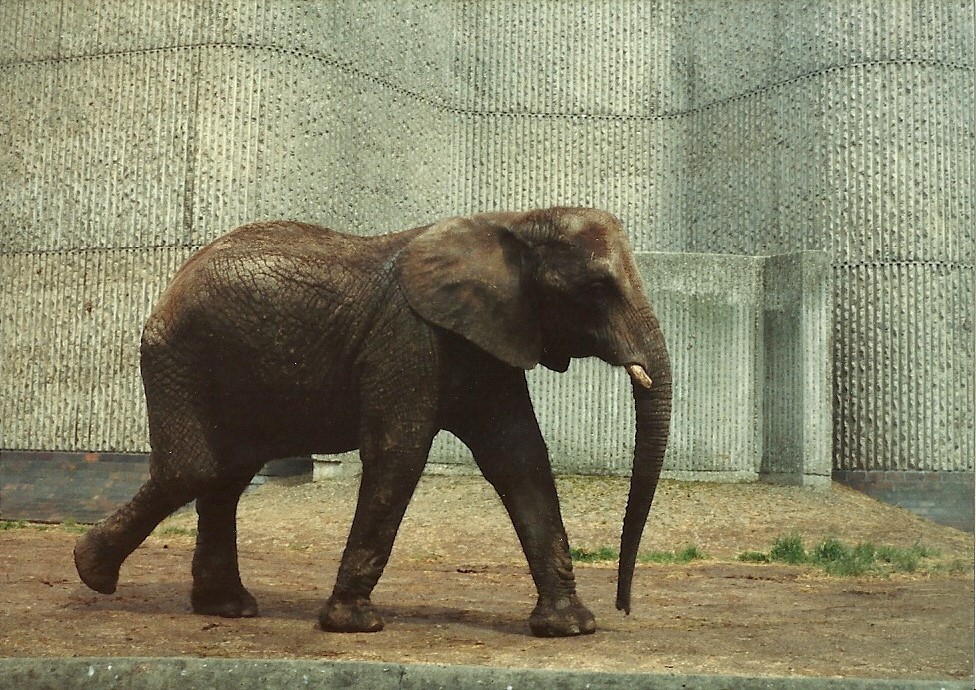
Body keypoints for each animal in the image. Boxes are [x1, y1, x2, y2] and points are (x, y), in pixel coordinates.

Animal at [73, 206, 672, 638]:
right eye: (597, 289)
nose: (624, 607)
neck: (517, 222)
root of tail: (172, 282)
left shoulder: (489, 342)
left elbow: (521, 459)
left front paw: (571, 628)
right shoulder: (408, 340)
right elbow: (398, 454)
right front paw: (354, 625)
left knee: (226, 476)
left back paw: (227, 608)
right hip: (182, 357)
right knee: (195, 470)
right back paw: (92, 574)